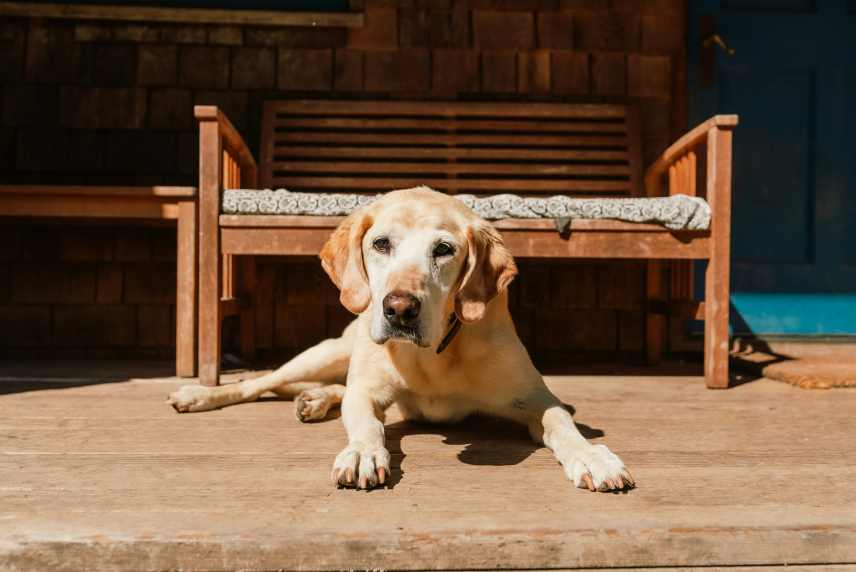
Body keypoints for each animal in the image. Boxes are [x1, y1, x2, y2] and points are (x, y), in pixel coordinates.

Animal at [169, 187, 636, 492]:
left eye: (444, 249)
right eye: (380, 244)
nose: (399, 309)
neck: (434, 355)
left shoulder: (536, 398)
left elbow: (562, 423)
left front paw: (592, 456)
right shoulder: (367, 391)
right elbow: (365, 422)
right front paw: (362, 452)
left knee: (330, 387)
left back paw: (315, 399)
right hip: (328, 351)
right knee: (261, 381)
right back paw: (200, 394)